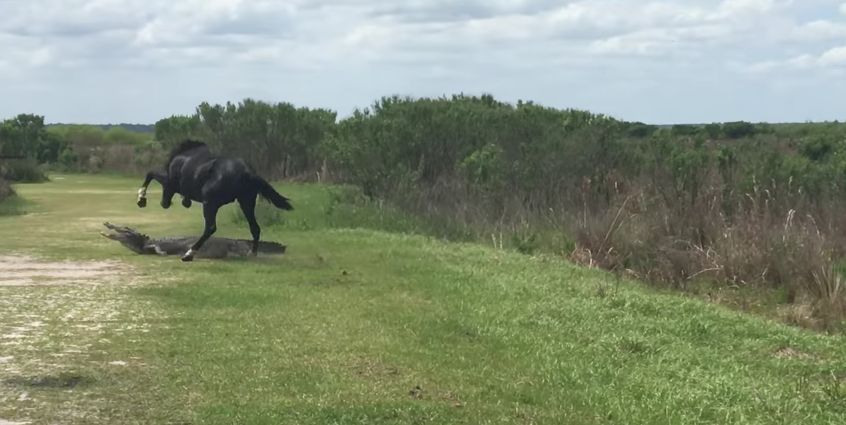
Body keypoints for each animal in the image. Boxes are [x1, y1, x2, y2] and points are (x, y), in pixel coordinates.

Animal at [136, 139, 293, 262]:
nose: (164, 204)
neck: (183, 158)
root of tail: (247, 172)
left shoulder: (170, 182)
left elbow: (151, 174)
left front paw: (141, 199)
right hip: (246, 203)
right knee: (255, 228)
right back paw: (252, 254)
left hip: (210, 204)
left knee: (210, 228)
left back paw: (189, 254)